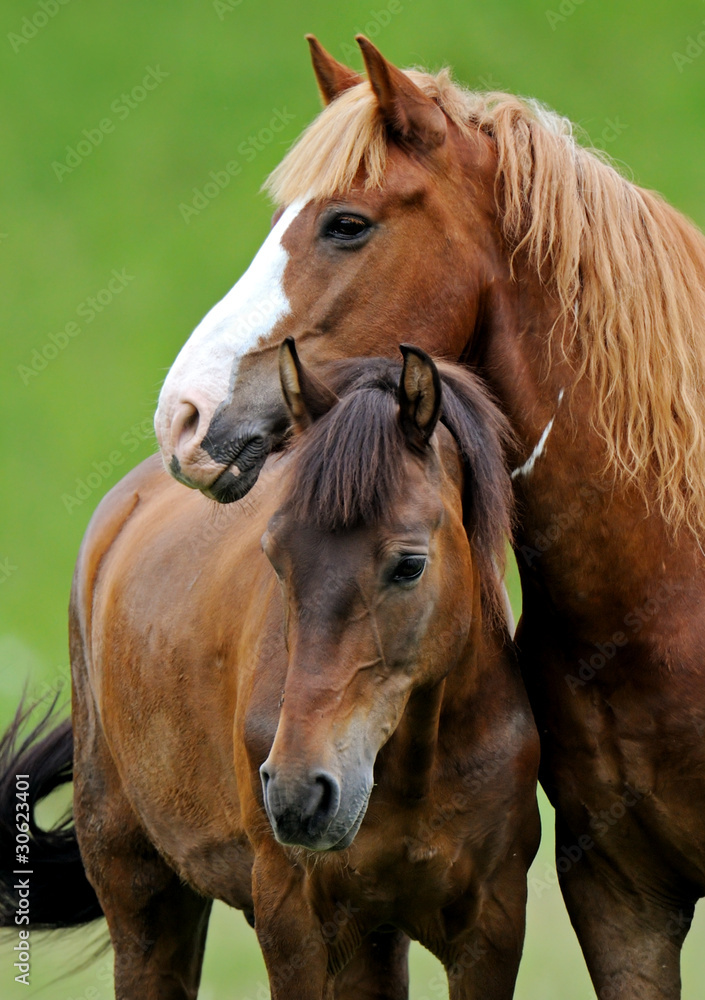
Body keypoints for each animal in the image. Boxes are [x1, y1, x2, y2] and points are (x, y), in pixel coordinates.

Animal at [0, 342, 539, 998]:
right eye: (276, 556)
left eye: (409, 565)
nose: (297, 792)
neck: (417, 767)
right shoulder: (291, 917)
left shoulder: (491, 924)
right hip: (143, 901)